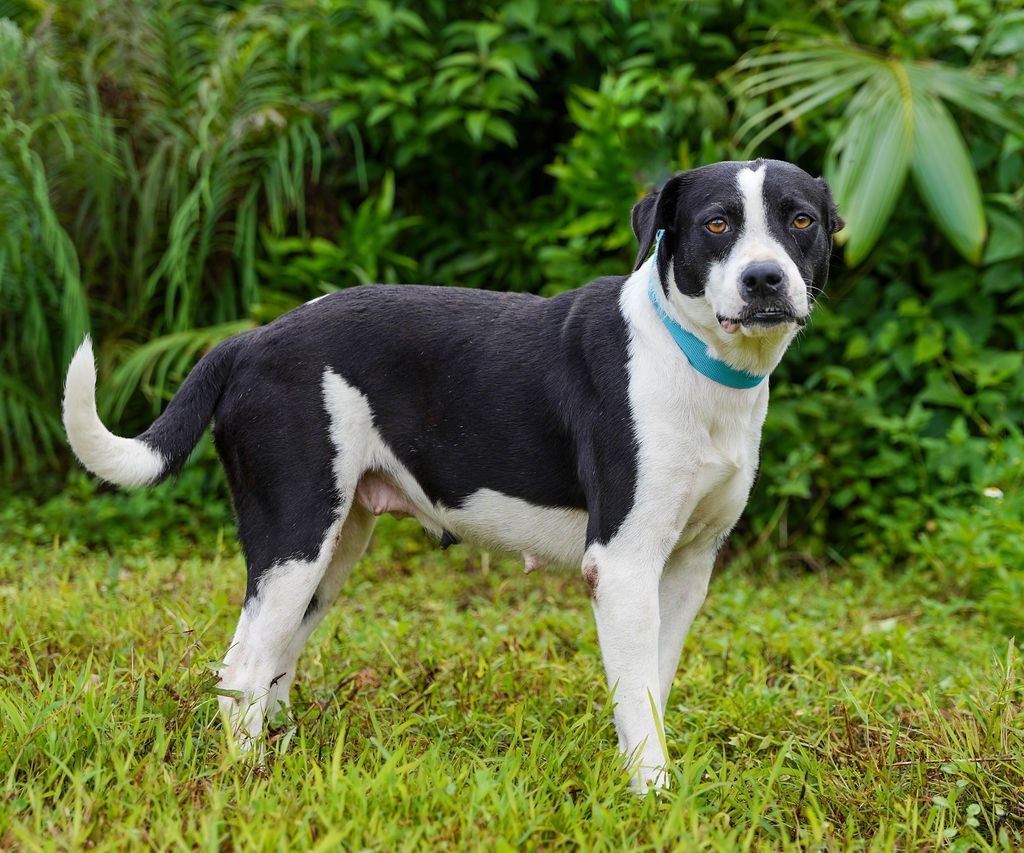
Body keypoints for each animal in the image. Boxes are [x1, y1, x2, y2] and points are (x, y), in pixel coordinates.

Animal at [68, 156, 843, 790]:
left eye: (800, 219)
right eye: (716, 224)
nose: (765, 279)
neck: (694, 358)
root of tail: (250, 340)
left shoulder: (686, 567)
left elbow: (653, 683)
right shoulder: (622, 564)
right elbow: (637, 698)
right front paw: (651, 797)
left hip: (333, 545)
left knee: (274, 664)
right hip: (294, 534)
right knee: (241, 669)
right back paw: (250, 780)